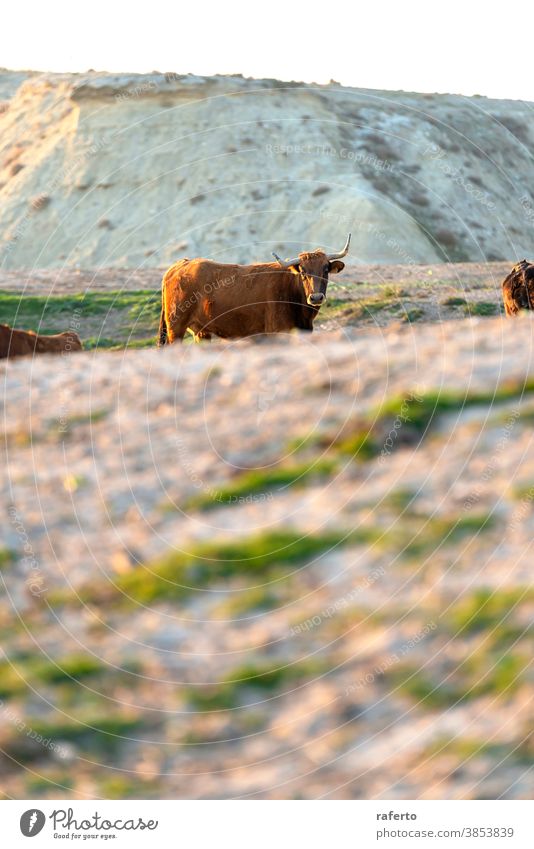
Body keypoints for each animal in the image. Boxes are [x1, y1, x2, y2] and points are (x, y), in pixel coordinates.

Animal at [158, 234, 352, 342]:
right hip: (175, 328)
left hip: (201, 332)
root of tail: (181, 264)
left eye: (325, 269)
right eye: (303, 271)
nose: (316, 297)